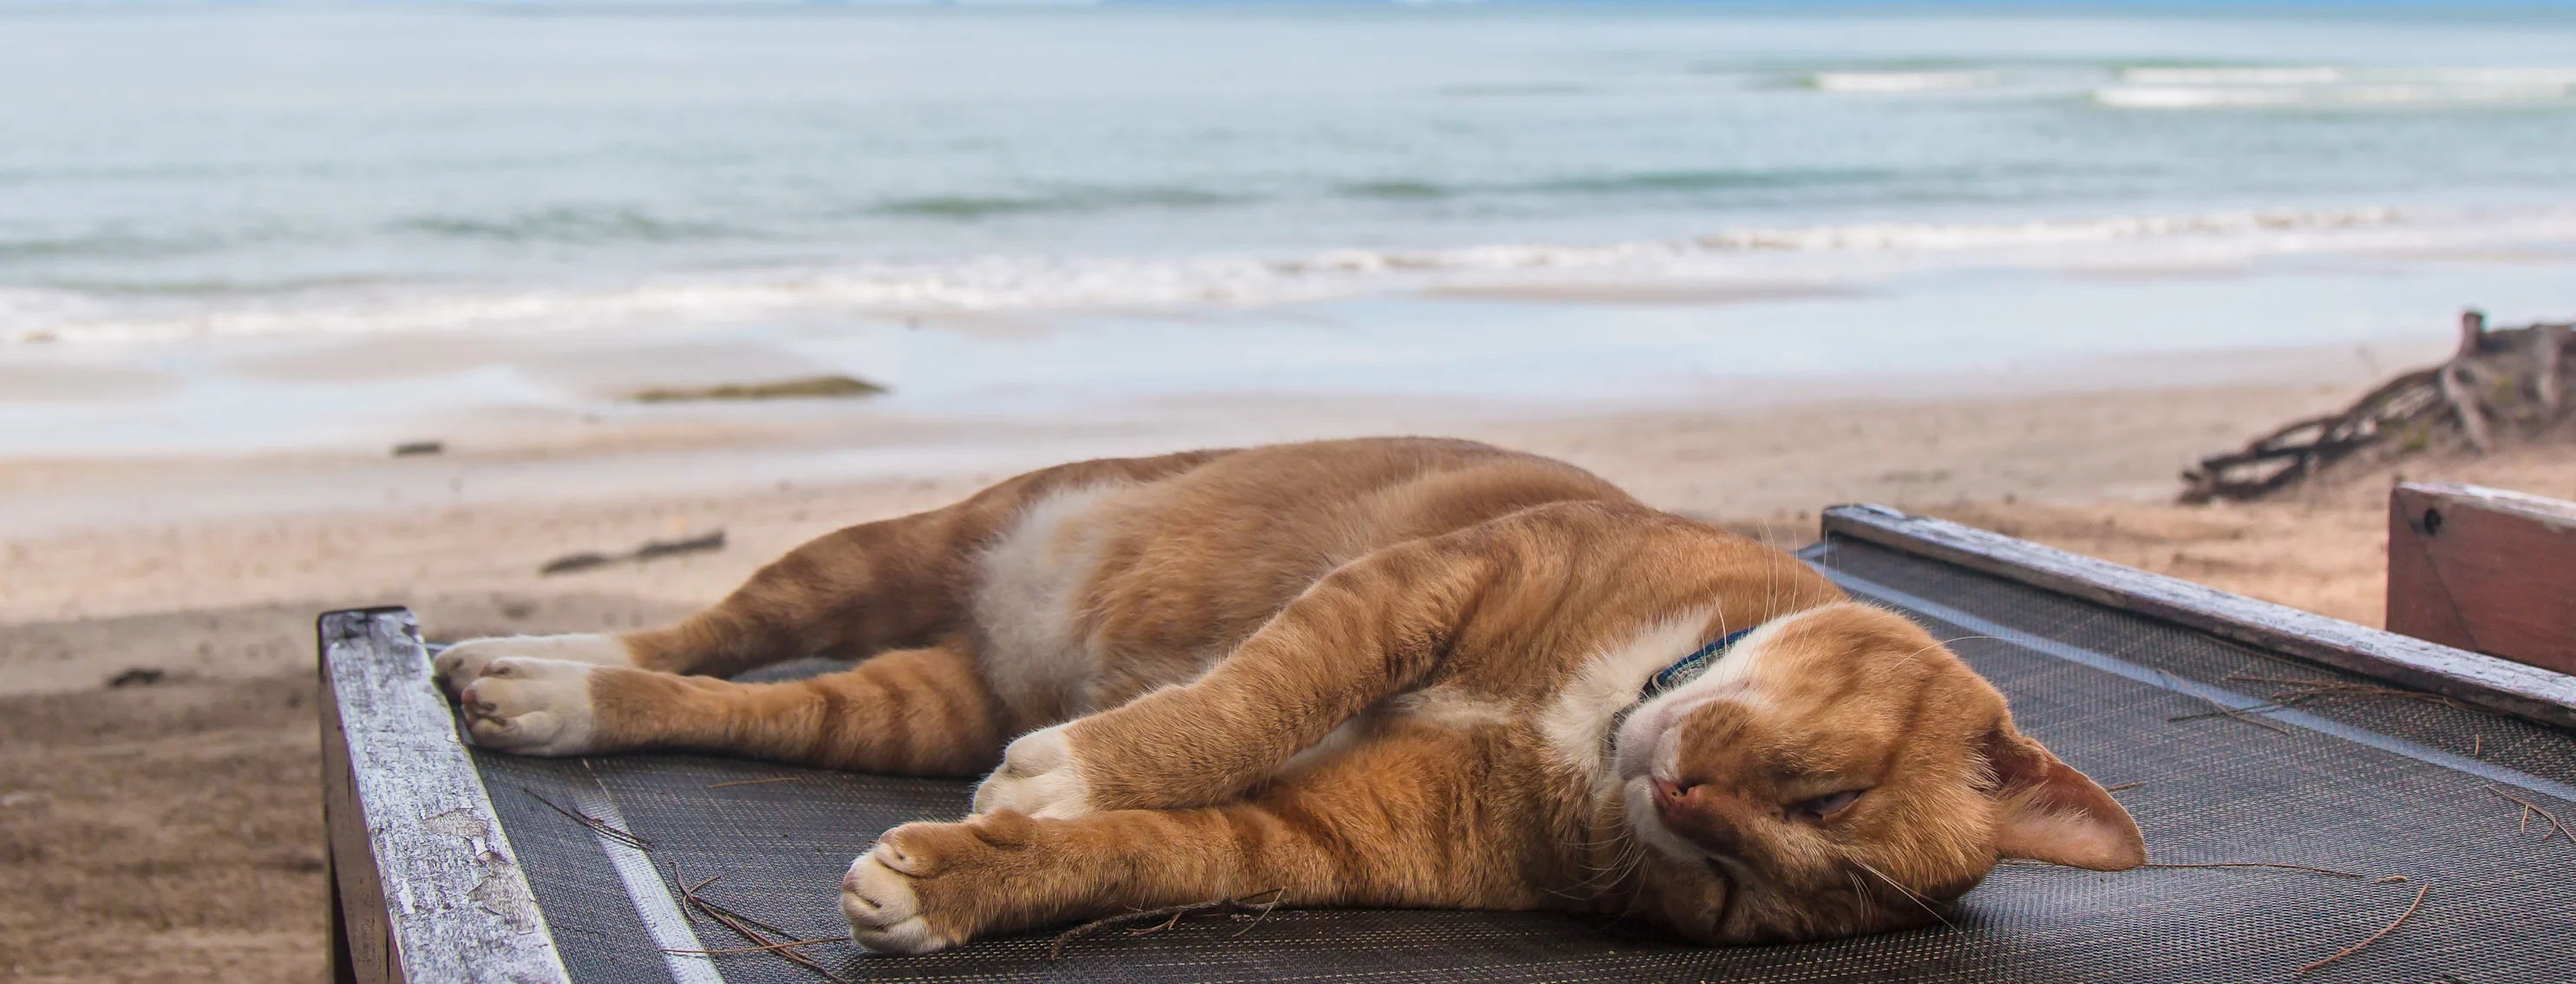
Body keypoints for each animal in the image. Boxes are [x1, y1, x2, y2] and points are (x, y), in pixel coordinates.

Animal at [432, 437, 2143, 953]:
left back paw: (554, 694)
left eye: (1748, 897)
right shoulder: (1412, 590)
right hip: (879, 550)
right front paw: (1093, 763)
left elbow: (1160, 851)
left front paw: (969, 875)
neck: (1589, 720)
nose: (1678, 796)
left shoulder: (1319, 839)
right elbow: (1245, 697)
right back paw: (539, 658)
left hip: (911, 700)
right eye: (1824, 790)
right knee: (705, 624)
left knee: (747, 702)